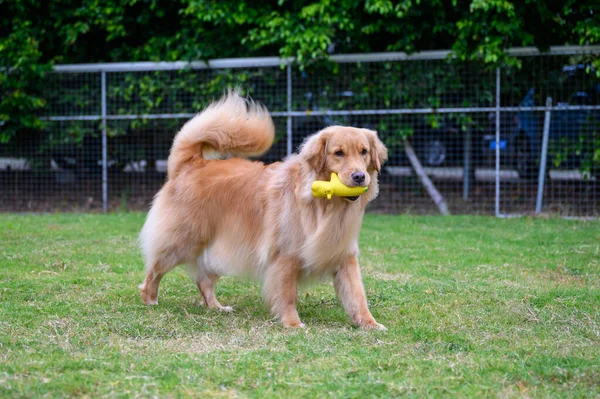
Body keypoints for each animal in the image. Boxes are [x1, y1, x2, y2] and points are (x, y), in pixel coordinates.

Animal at [138, 90, 386, 332]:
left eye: (364, 152)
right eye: (338, 153)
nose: (359, 176)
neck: (323, 204)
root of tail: (190, 163)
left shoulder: (344, 254)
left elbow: (356, 295)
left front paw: (369, 323)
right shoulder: (285, 256)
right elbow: (287, 294)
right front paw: (292, 323)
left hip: (218, 248)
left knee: (204, 280)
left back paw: (216, 307)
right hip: (181, 242)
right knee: (155, 271)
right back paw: (150, 299)